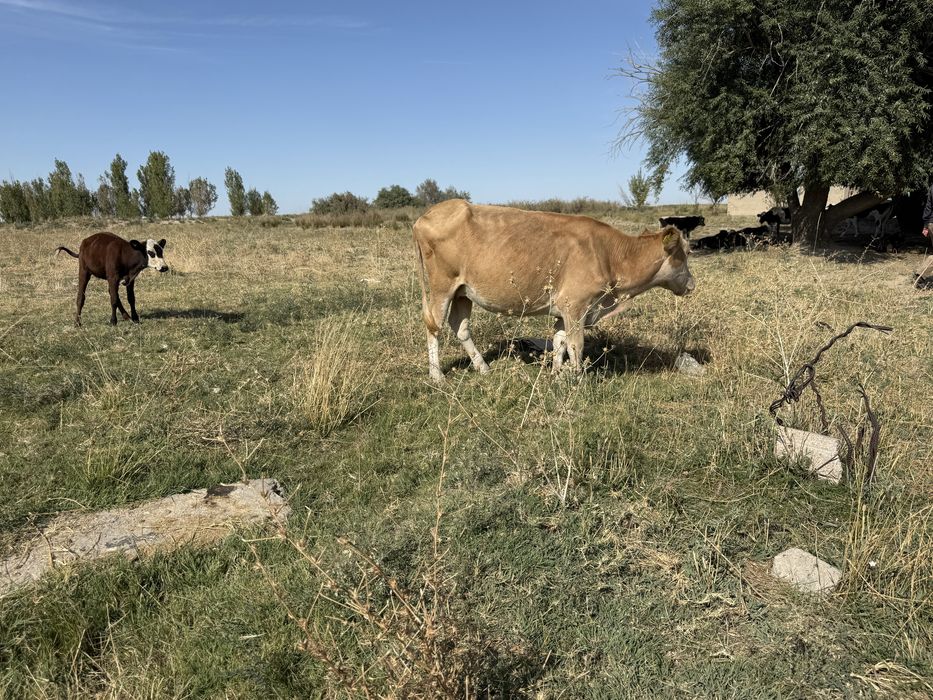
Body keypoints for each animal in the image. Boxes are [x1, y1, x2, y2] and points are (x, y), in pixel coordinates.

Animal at [413, 200, 695, 381]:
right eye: (687, 253)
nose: (692, 283)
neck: (610, 255)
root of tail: (431, 212)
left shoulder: (565, 309)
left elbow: (559, 342)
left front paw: (557, 375)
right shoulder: (576, 305)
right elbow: (576, 345)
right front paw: (577, 380)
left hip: (463, 291)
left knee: (460, 327)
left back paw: (483, 367)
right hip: (441, 286)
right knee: (433, 326)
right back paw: (436, 375)